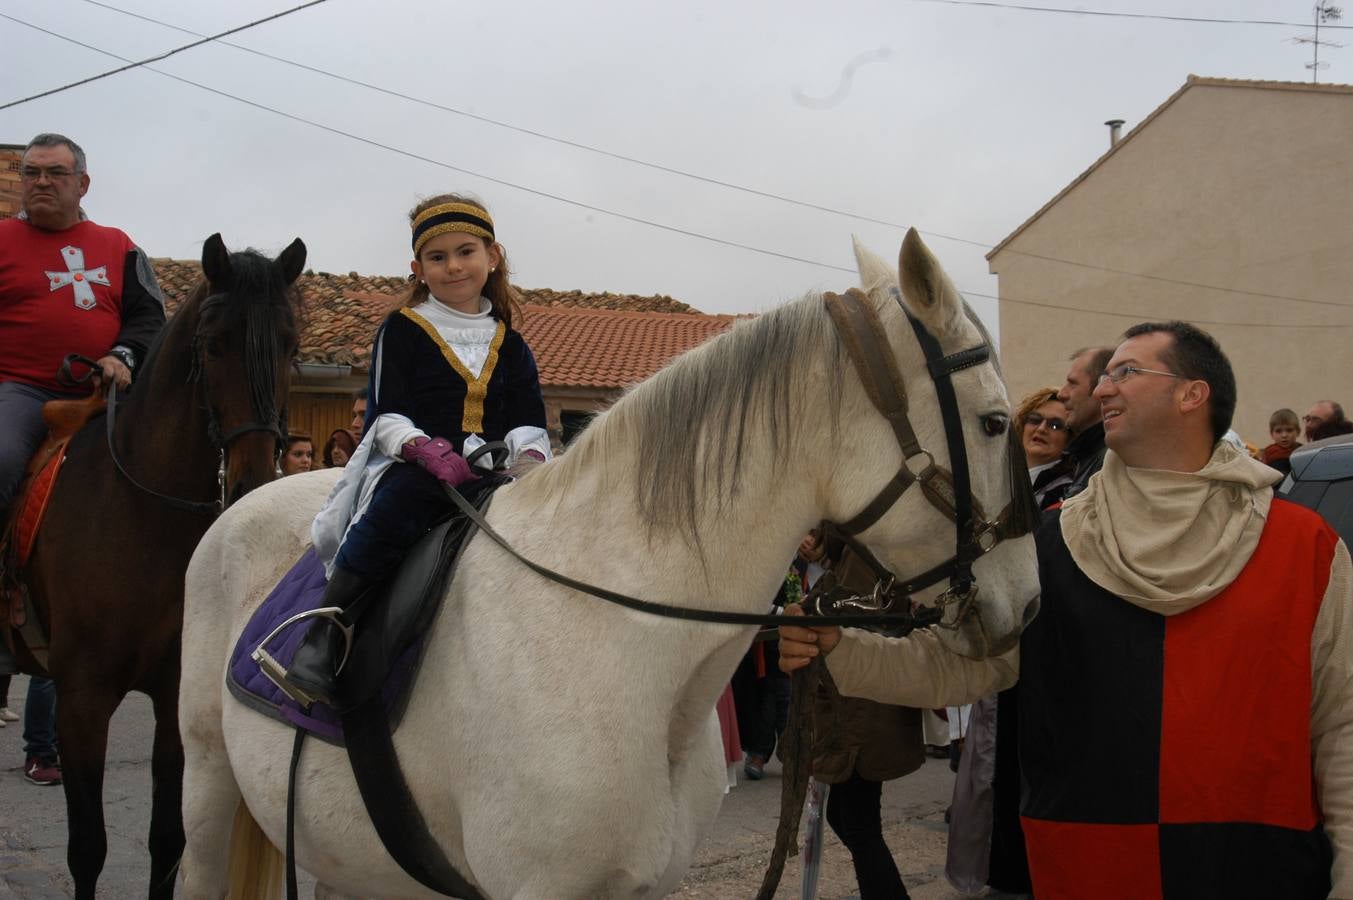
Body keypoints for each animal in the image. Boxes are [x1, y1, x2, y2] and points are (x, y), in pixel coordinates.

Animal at [13, 232, 304, 898]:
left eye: (290, 345)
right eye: (213, 343)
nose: (251, 481)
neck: (140, 510)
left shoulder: (176, 697)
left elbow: (167, 842)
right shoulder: (82, 697)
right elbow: (88, 848)